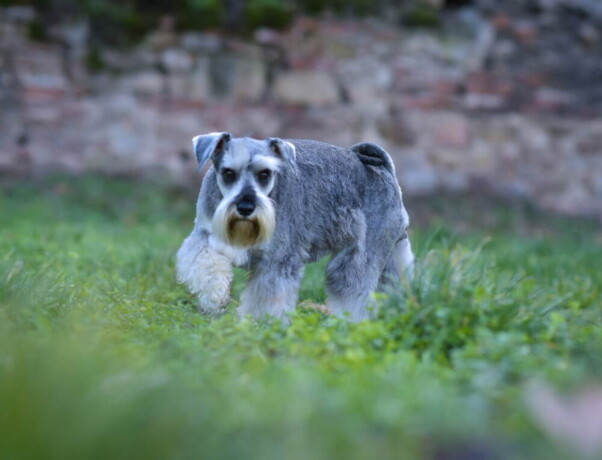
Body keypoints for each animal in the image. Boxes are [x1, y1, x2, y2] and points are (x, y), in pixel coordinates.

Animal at [176, 131, 412, 322]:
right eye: (228, 172)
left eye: (265, 174)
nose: (245, 207)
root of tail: (385, 169)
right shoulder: (202, 237)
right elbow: (205, 262)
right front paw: (215, 296)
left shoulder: (278, 261)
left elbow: (267, 299)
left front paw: (262, 326)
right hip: (392, 258)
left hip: (360, 259)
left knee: (355, 292)